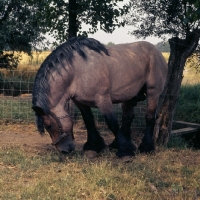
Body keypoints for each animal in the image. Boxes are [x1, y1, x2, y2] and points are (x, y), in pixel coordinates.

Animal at [32, 36, 168, 157]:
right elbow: (89, 121)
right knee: (128, 118)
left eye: (49, 125)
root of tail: (157, 52)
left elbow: (112, 123)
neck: (78, 71)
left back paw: (146, 147)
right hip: (128, 96)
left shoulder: (103, 100)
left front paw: (125, 151)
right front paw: (94, 146)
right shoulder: (81, 103)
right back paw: (117, 144)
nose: (64, 150)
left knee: (150, 117)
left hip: (153, 92)